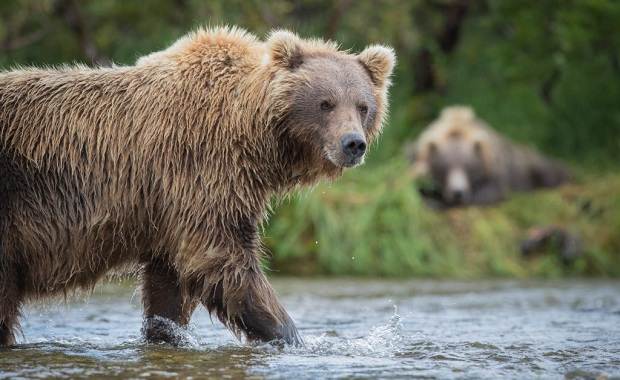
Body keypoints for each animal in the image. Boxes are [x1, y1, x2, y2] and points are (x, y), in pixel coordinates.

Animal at [0, 26, 398, 348]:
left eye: (363, 105)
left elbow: (169, 283)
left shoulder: (166, 209)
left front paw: (165, 333)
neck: (251, 133)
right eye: (325, 103)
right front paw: (290, 336)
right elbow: (222, 260)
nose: (353, 144)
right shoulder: (200, 170)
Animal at [406, 105, 572, 209]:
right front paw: (428, 196)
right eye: (444, 167)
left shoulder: (494, 166)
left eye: (468, 167)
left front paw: (438, 203)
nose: (458, 193)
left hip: (531, 165)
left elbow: (491, 191)